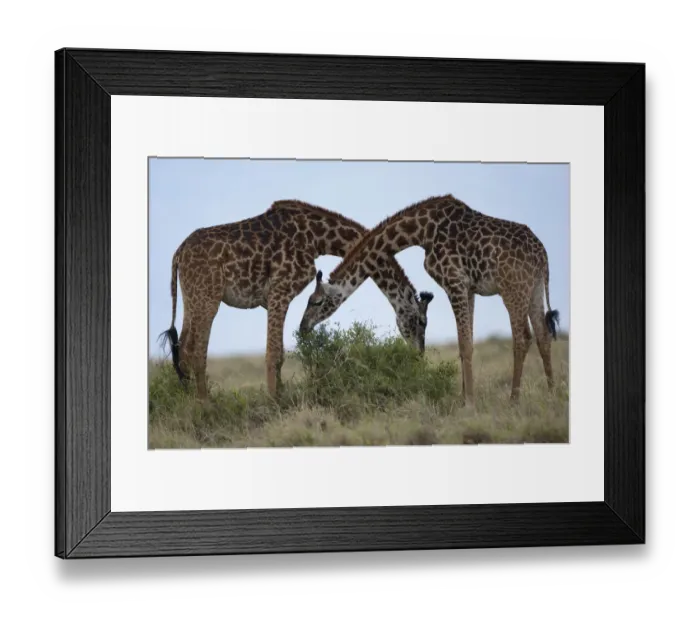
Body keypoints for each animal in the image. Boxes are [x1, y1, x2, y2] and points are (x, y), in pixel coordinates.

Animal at [158, 200, 435, 400]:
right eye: (421, 322)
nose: (419, 354)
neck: (316, 238)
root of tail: (178, 253)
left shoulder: (279, 297)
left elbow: (279, 352)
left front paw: (280, 396)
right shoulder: (279, 291)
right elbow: (273, 353)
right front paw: (274, 402)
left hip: (192, 297)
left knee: (182, 349)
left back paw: (188, 401)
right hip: (208, 297)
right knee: (195, 351)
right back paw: (205, 405)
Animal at [299, 194, 560, 405]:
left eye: (316, 301)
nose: (302, 327)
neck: (422, 231)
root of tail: (543, 255)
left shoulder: (454, 282)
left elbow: (465, 344)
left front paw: (469, 403)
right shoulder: (468, 288)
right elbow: (466, 342)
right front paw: (462, 399)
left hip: (513, 288)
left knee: (523, 337)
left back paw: (514, 401)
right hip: (535, 288)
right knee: (543, 335)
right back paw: (552, 395)